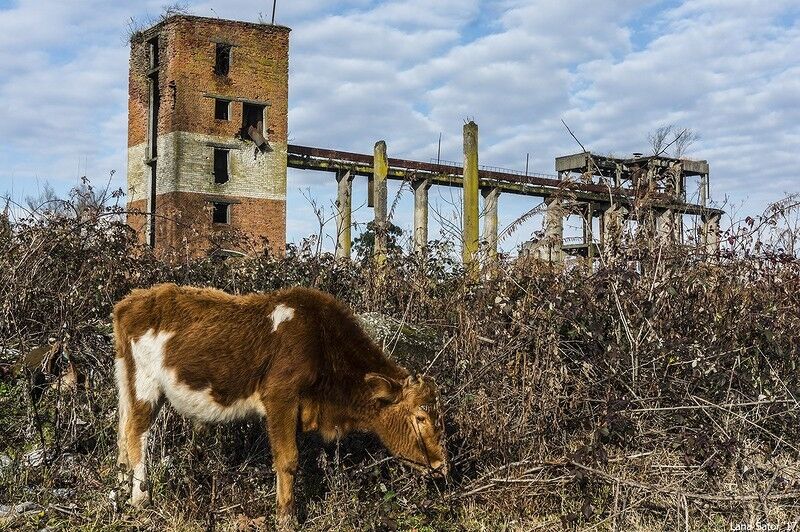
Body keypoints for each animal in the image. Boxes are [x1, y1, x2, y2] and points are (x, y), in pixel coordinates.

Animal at [111, 284, 446, 520]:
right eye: (420, 417)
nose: (441, 466)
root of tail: (131, 301)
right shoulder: (280, 396)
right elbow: (288, 459)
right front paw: (286, 516)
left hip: (127, 383)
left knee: (123, 435)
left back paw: (120, 490)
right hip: (145, 385)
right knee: (136, 434)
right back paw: (140, 499)